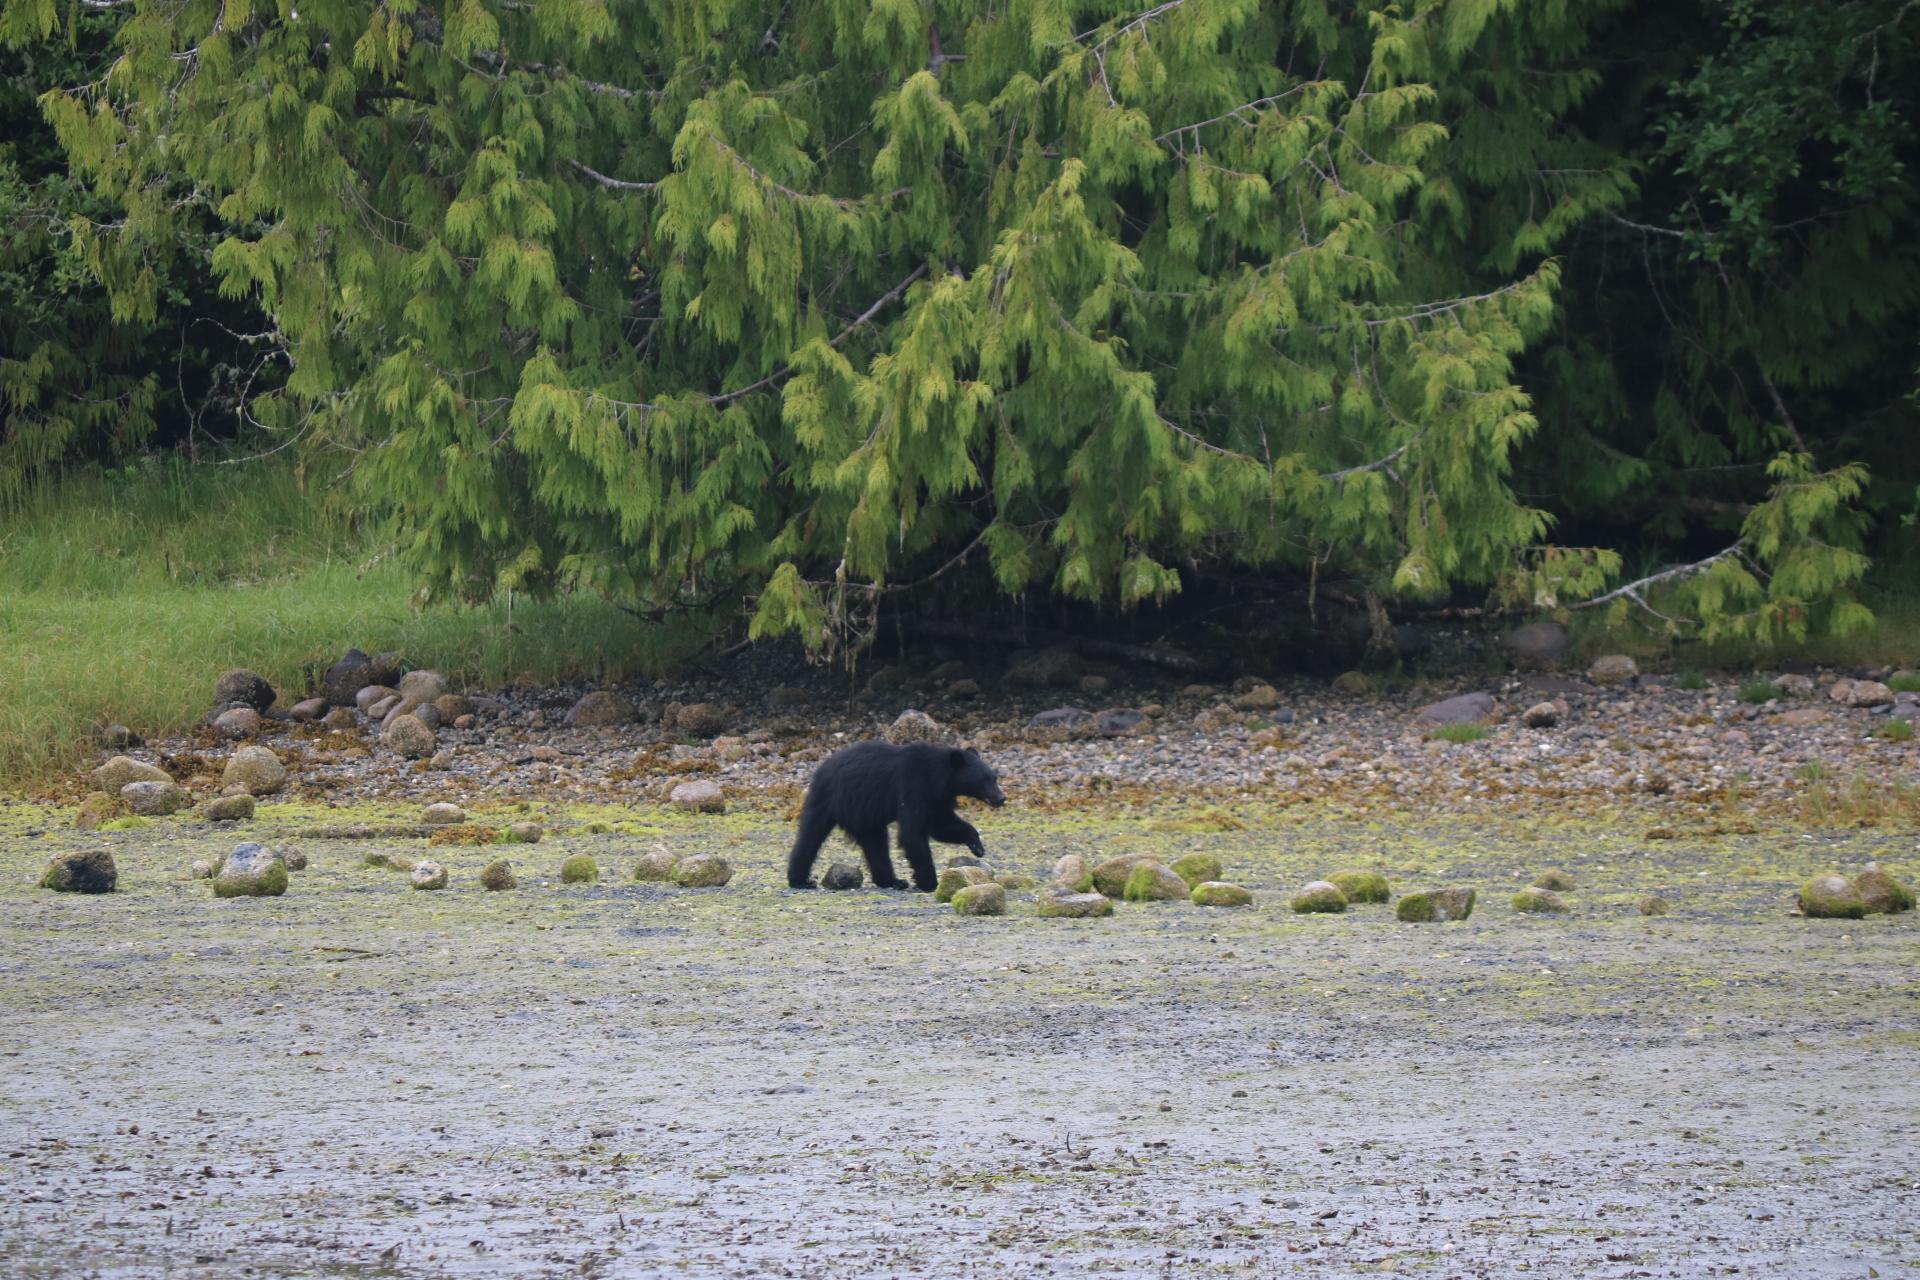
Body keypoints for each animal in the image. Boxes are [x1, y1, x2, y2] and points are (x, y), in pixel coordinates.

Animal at [788, 741, 1005, 891]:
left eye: (994, 778)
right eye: (984, 780)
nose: (1001, 798)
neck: (936, 776)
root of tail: (822, 767)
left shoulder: (937, 798)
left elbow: (942, 825)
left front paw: (976, 845)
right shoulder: (912, 787)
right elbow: (912, 832)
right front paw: (929, 882)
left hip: (864, 813)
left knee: (875, 844)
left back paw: (892, 881)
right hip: (828, 797)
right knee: (811, 836)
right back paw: (800, 880)